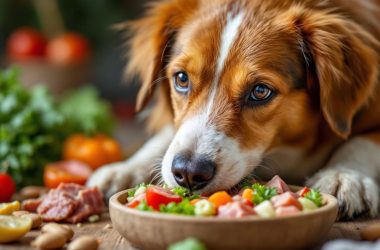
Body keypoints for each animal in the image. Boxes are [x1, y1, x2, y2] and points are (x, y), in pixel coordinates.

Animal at [87, 0, 380, 219]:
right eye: (181, 78)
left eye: (260, 91)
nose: (188, 172)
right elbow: (167, 136)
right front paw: (126, 169)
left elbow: (362, 142)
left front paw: (343, 176)